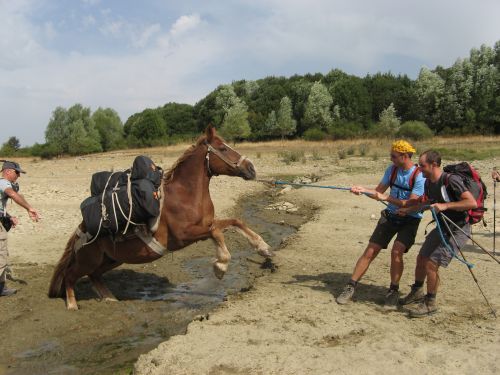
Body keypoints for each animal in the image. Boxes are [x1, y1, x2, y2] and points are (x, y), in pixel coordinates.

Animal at [49, 126, 276, 312]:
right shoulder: (185, 235)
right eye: (222, 148)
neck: (186, 195)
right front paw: (220, 266)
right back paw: (72, 305)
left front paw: (263, 247)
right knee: (71, 275)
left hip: (112, 259)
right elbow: (217, 232)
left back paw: (110, 299)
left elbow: (235, 222)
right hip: (90, 259)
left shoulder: (205, 225)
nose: (251, 168)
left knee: (94, 275)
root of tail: (82, 229)